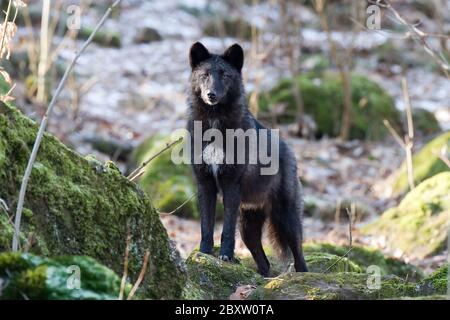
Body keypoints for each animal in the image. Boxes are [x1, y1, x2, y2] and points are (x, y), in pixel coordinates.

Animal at [185, 41, 306, 276]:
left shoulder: (231, 185)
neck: (214, 124)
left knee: (299, 256)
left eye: (224, 75)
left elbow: (225, 230)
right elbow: (206, 227)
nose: (211, 94)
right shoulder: (205, 184)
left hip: (286, 219)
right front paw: (204, 254)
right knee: (264, 262)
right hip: (248, 228)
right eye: (205, 75)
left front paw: (225, 256)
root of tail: (289, 149)